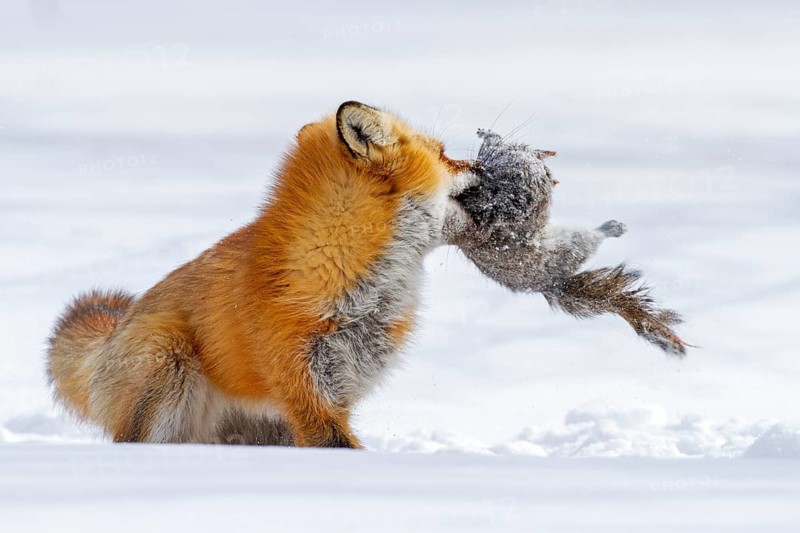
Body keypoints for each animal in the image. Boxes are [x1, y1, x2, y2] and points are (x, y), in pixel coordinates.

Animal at [47, 101, 476, 448]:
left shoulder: (337, 393)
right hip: (167, 358)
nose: (481, 166)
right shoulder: (307, 392)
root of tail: (110, 338)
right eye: (444, 154)